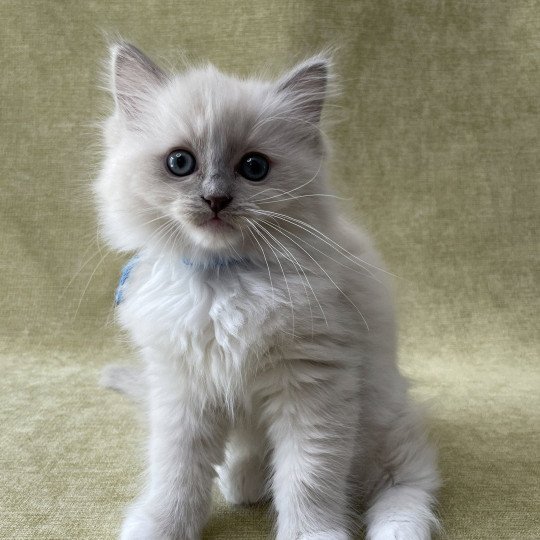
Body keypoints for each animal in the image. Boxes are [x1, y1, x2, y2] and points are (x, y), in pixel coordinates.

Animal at [97, 42, 440, 540]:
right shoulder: (182, 390)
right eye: (180, 163)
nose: (215, 199)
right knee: (246, 462)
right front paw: (163, 525)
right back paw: (241, 481)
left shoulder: (314, 387)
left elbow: (307, 478)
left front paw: (313, 533)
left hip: (382, 423)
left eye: (253, 168)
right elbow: (177, 472)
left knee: (409, 479)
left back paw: (396, 530)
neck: (224, 283)